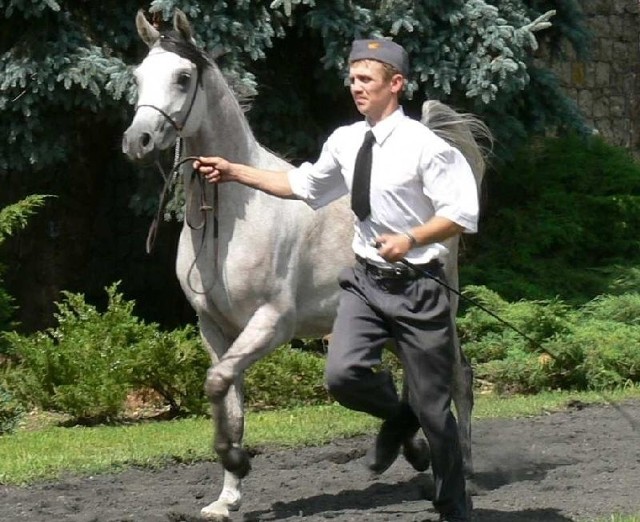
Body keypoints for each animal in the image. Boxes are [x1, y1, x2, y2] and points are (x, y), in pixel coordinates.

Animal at [121, 8, 490, 520]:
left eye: (182, 76)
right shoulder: (215, 329)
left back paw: (465, 471)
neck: (232, 217)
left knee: (458, 378)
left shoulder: (272, 323)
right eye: (138, 76)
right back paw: (415, 454)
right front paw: (226, 498)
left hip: (439, 316)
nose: (137, 141)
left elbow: (217, 385)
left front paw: (238, 464)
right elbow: (228, 401)